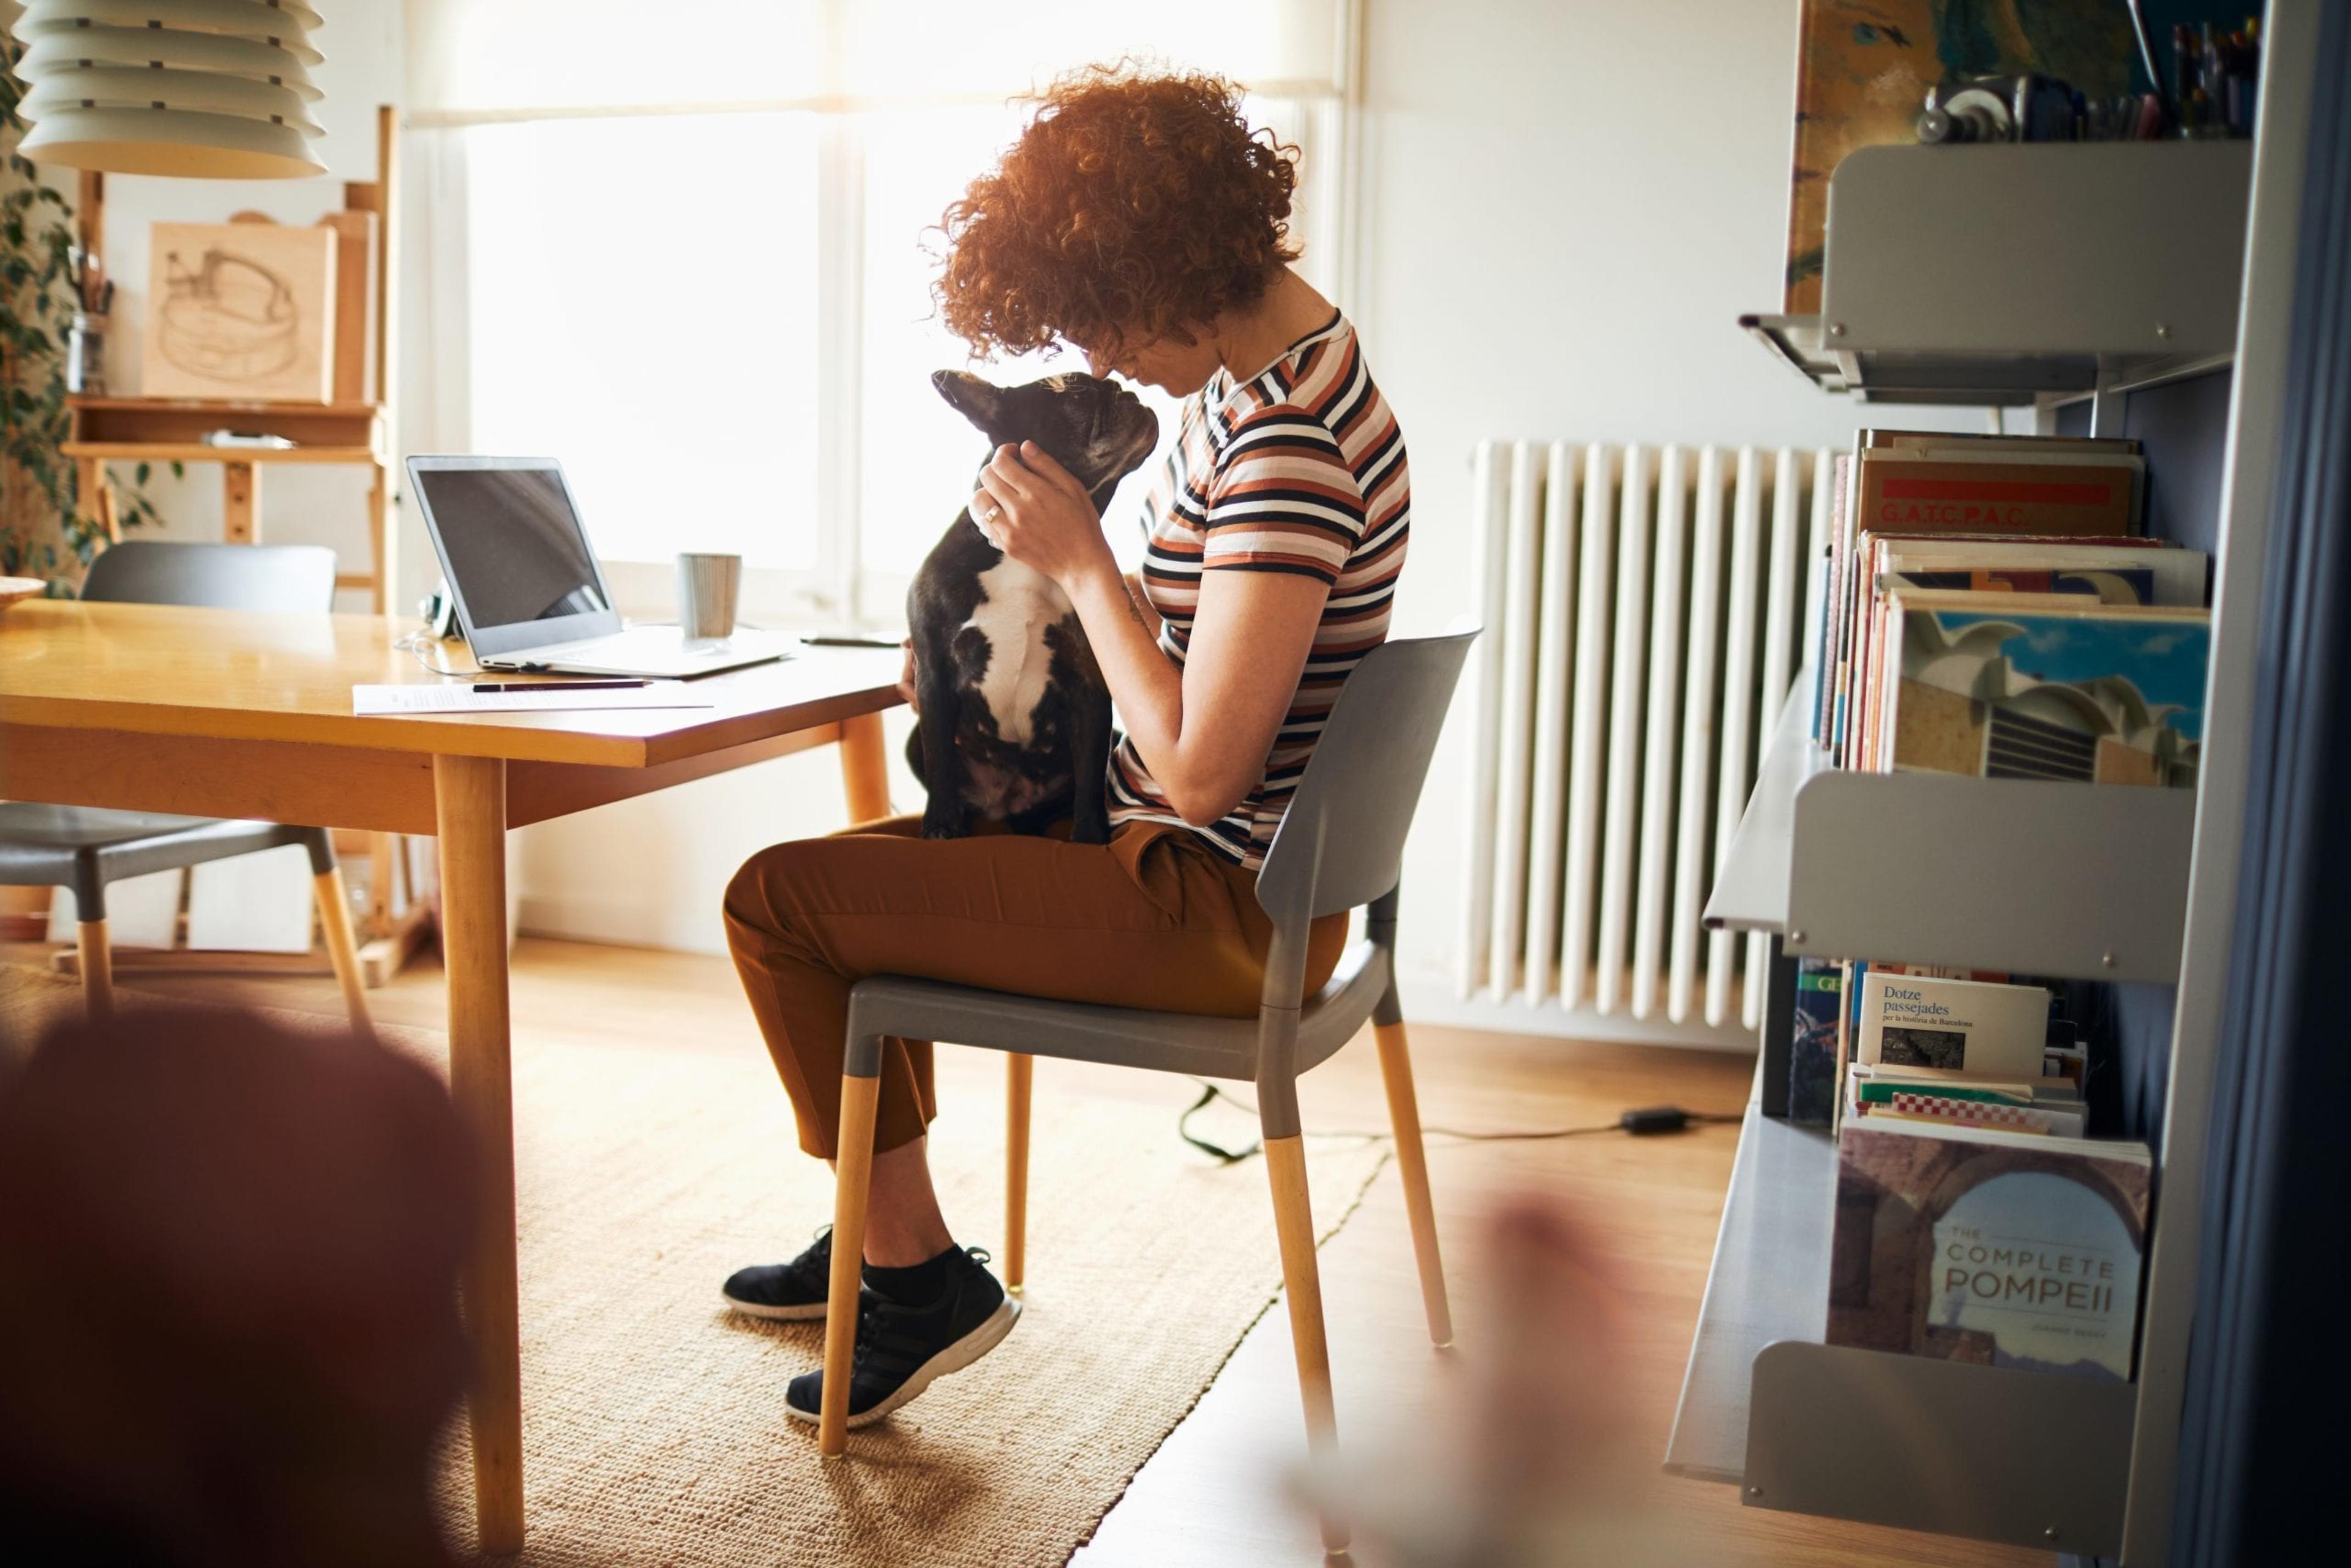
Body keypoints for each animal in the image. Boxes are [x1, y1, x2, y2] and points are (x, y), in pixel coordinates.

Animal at [898, 373, 1157, 846]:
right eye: (1077, 390)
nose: (1128, 392)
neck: (1025, 558)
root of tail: (1004, 805)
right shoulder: (933, 675)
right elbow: (940, 759)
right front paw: (942, 825)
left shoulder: (1090, 687)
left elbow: (1091, 775)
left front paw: (1089, 836)